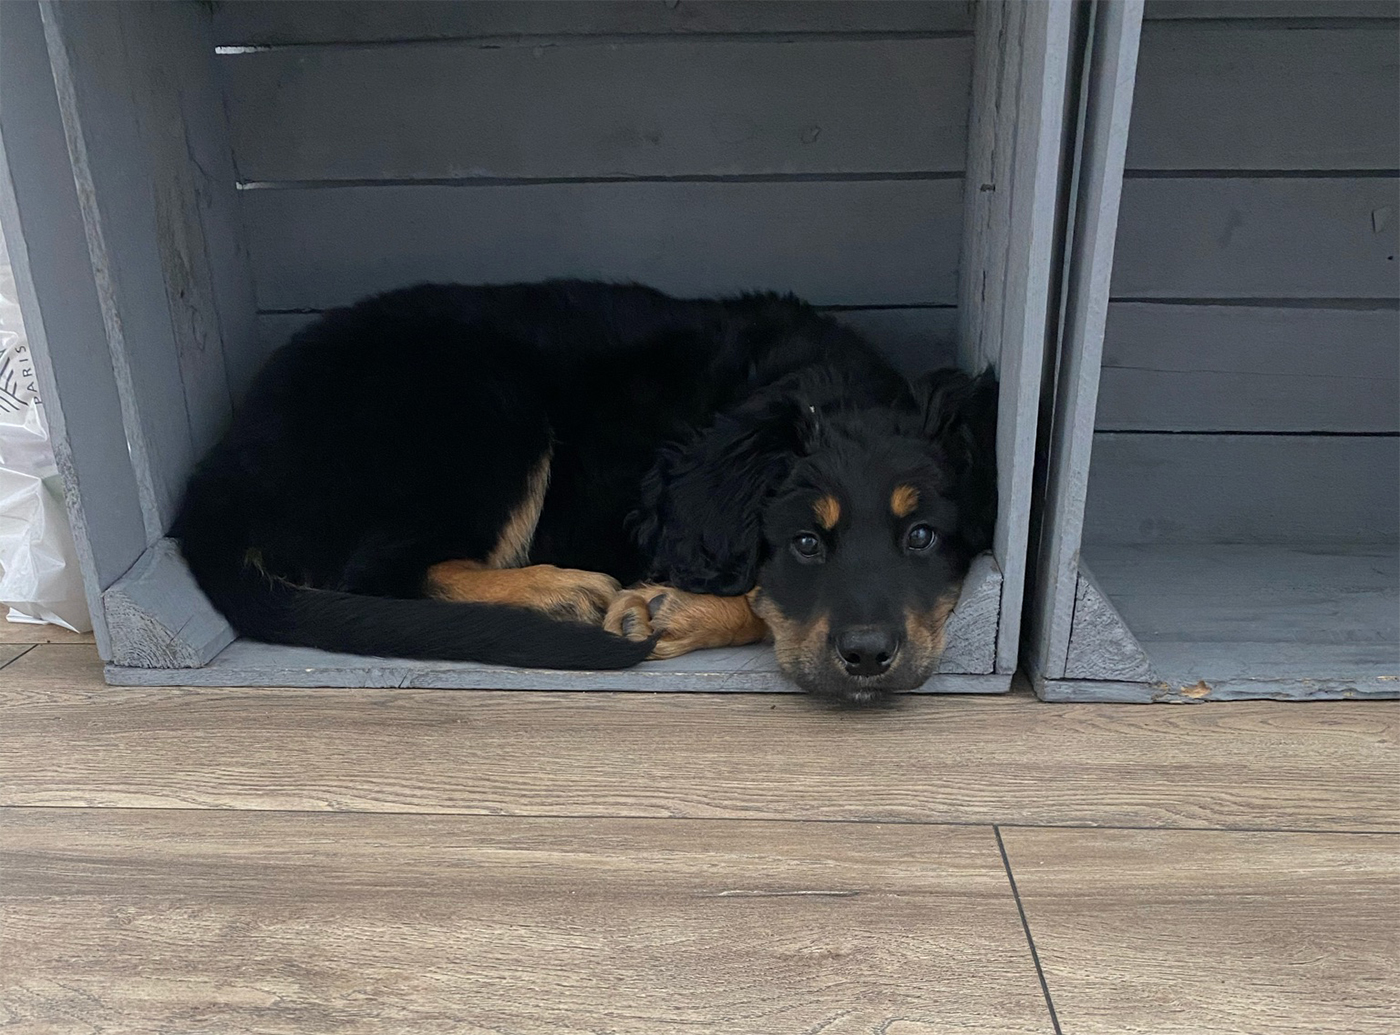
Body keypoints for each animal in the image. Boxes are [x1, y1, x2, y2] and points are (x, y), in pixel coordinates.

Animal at [174, 281, 997, 704]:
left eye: (921, 537)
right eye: (803, 541)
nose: (868, 656)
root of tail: (220, 469)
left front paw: (672, 610)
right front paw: (664, 608)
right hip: (489, 406)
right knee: (388, 571)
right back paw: (555, 591)